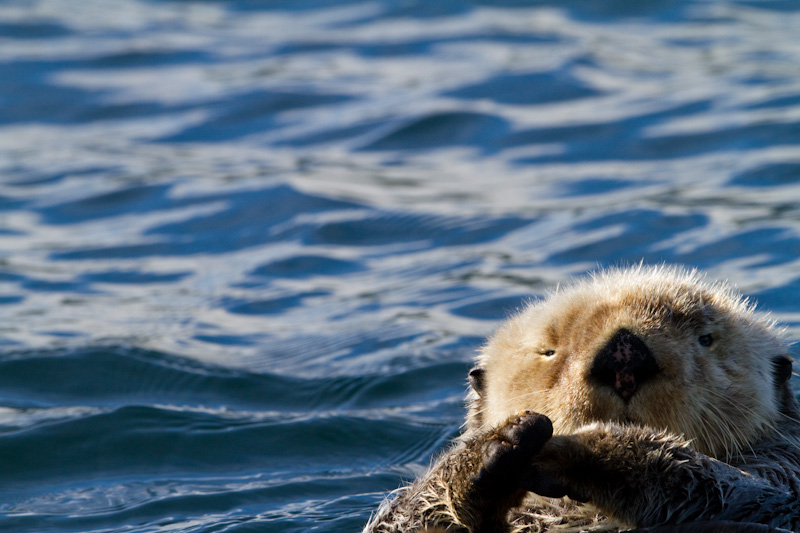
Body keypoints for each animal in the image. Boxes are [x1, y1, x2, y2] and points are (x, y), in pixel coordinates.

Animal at [364, 266, 800, 532]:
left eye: (706, 339)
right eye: (548, 351)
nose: (625, 355)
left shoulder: (781, 477)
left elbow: (739, 490)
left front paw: (575, 448)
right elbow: (397, 520)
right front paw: (492, 449)